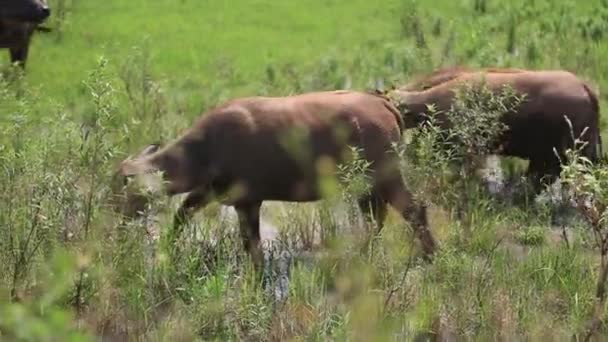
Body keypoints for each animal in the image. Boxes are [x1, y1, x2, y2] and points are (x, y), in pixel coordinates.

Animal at [114, 90, 436, 268]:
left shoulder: (248, 201)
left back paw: (430, 255)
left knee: (412, 210)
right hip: (365, 184)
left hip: (385, 175)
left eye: (121, 188)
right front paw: (166, 250)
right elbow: (182, 215)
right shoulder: (210, 191)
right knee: (375, 218)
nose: (116, 221)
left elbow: (253, 246)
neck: (206, 148)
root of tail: (383, 104)